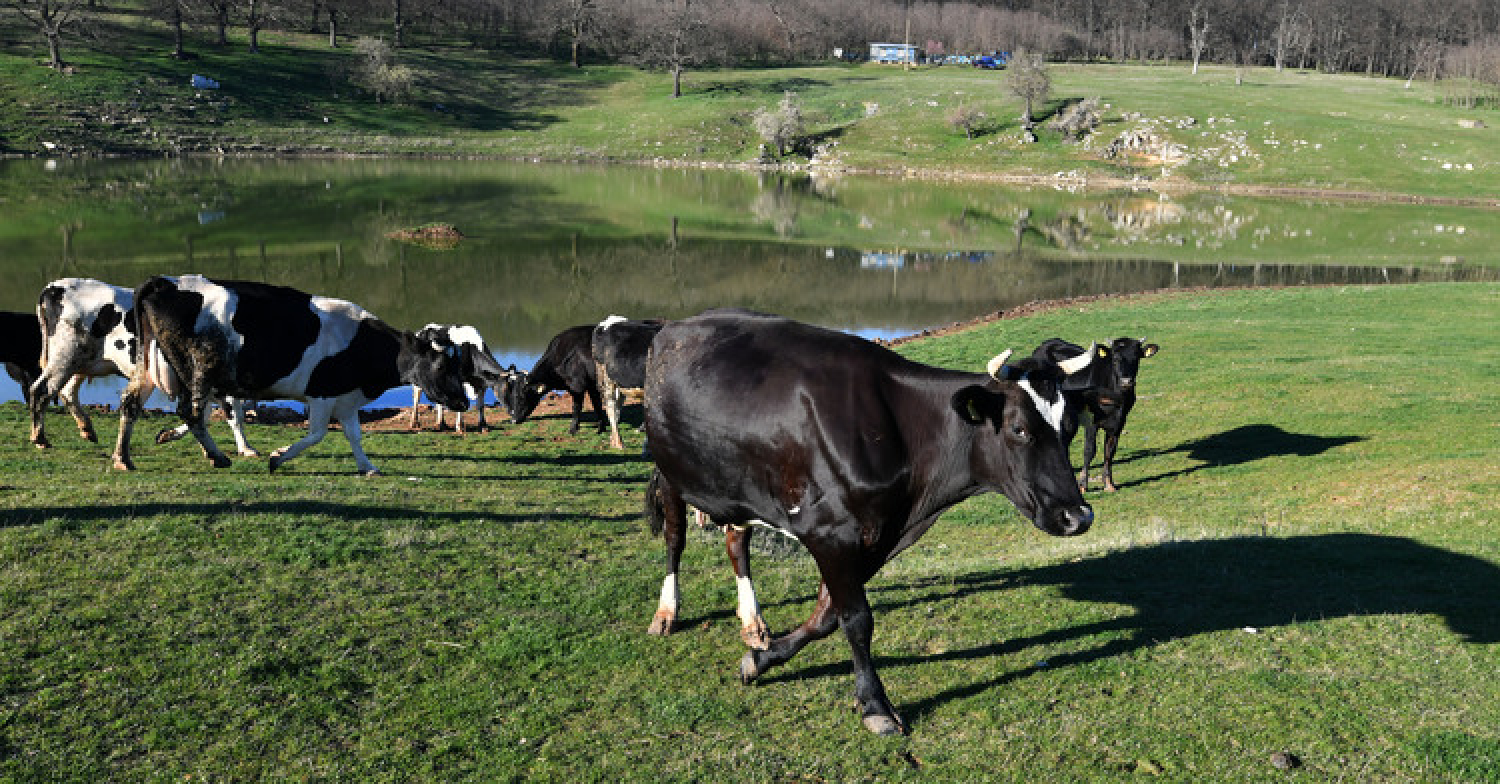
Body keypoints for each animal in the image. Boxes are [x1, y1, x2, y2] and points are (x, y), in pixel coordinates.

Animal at [28, 278, 255, 455]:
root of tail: (54, 287)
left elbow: (205, 413)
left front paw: (168, 435)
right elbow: (232, 414)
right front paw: (246, 448)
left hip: (81, 362)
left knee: (67, 391)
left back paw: (87, 429)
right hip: (65, 356)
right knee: (41, 390)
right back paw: (40, 439)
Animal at [112, 272, 468, 476]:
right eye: (441, 365)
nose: (463, 402)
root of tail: (165, 281)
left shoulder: (346, 398)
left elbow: (354, 435)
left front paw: (368, 467)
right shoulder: (323, 395)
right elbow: (318, 435)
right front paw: (278, 457)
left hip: (149, 365)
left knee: (132, 403)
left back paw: (123, 459)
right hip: (200, 369)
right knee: (192, 411)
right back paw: (217, 457)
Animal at [588, 313, 666, 446]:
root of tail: (610, 319)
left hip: (620, 382)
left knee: (618, 406)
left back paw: (613, 440)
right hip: (606, 377)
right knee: (611, 406)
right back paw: (619, 443)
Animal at [639, 308, 1098, 737]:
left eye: (1070, 426)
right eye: (1018, 429)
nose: (1078, 516)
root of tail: (674, 326)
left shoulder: (878, 533)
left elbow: (827, 615)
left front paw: (762, 658)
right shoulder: (829, 531)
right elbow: (857, 620)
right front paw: (875, 705)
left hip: (732, 482)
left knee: (737, 541)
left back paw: (754, 624)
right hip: (671, 473)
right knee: (675, 541)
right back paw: (666, 613)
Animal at [1032, 335, 1158, 491]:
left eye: (1136, 357)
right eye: (1114, 359)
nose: (1126, 381)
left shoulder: (1119, 423)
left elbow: (1109, 452)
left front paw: (1109, 483)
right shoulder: (1091, 423)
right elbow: (1089, 451)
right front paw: (1082, 485)